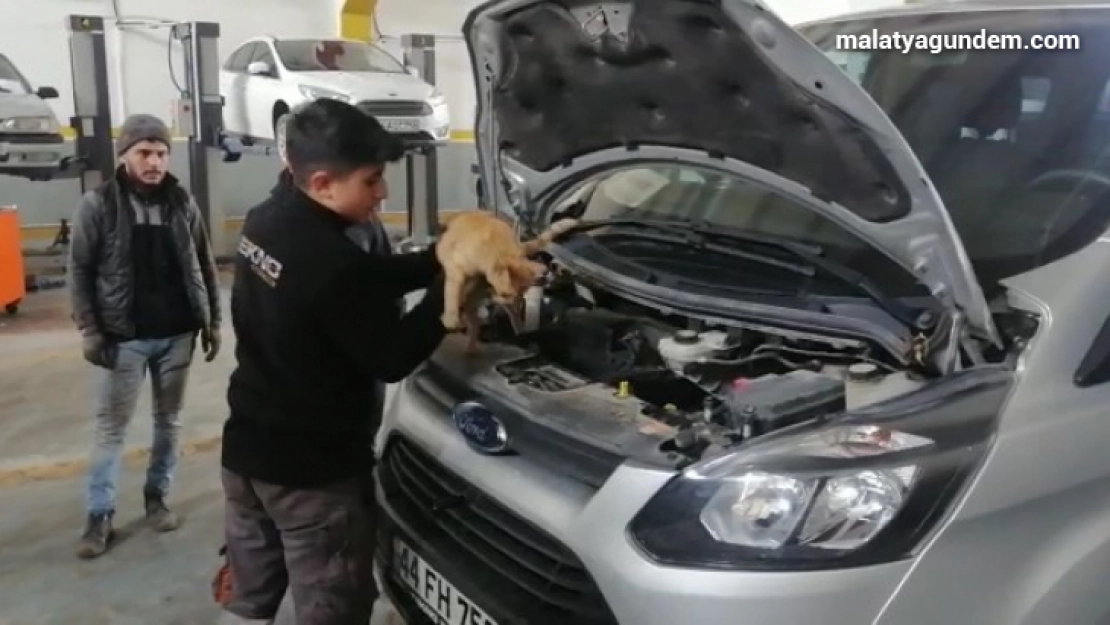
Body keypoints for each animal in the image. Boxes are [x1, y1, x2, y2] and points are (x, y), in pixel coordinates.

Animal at [432, 212, 577, 337]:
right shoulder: (456, 272)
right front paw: (451, 319)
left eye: (516, 296)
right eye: (504, 294)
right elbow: (453, 294)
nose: (513, 301)